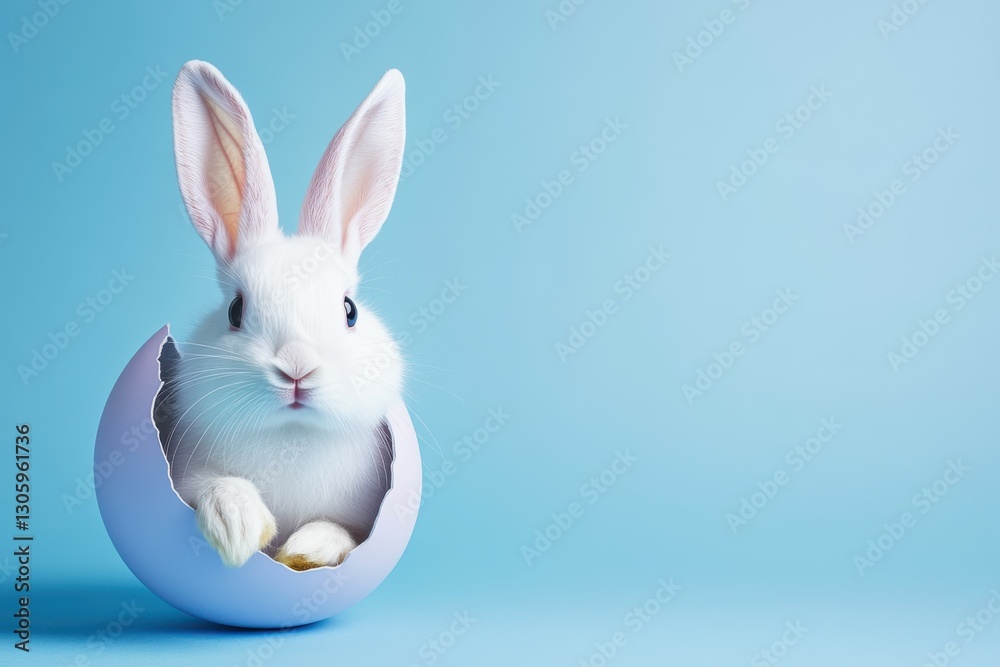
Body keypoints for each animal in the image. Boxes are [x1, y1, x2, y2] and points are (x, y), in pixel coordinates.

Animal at [158, 60, 406, 571]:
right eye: (235, 310)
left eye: (349, 311)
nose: (297, 367)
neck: (290, 436)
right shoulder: (183, 471)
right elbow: (213, 485)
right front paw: (239, 528)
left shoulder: (367, 516)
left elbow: (342, 533)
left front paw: (306, 549)